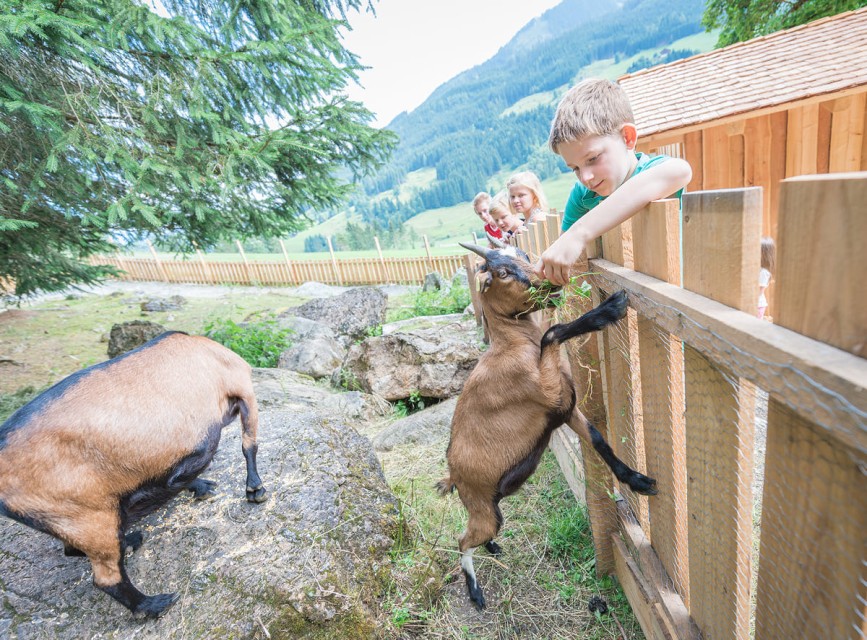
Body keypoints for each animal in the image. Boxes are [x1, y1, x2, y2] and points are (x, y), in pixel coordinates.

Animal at [0, 331, 266, 619]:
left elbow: (178, 476)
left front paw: (201, 486)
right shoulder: (242, 387)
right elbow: (249, 444)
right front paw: (255, 490)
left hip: (70, 520)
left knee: (71, 549)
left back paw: (130, 541)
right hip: (92, 517)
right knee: (106, 578)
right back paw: (152, 605)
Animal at [437, 243, 656, 610]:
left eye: (522, 254)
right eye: (501, 273)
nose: (548, 282)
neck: (514, 347)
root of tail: (453, 474)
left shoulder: (565, 409)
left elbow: (599, 440)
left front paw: (638, 481)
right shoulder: (550, 394)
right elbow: (553, 332)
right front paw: (610, 308)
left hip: (489, 505)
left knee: (475, 533)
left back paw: (493, 548)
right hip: (482, 509)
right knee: (461, 540)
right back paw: (475, 592)